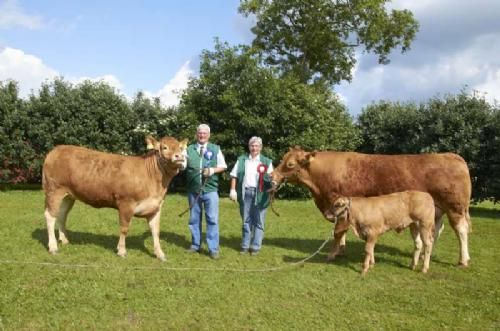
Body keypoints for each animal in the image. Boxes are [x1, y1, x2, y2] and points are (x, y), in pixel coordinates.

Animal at [42, 136, 188, 260]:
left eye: (180, 148)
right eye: (164, 147)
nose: (179, 156)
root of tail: (56, 149)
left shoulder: (156, 207)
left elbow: (155, 231)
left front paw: (160, 254)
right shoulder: (126, 203)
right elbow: (124, 228)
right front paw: (122, 251)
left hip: (68, 196)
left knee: (61, 215)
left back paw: (64, 240)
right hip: (54, 190)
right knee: (50, 216)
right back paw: (53, 247)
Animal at [272, 148, 470, 268]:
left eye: (289, 164)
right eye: (282, 159)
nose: (272, 176)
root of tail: (452, 156)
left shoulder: (340, 205)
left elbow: (337, 232)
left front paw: (332, 254)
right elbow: (342, 232)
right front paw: (341, 250)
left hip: (455, 208)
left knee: (461, 230)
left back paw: (463, 259)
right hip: (436, 211)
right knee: (436, 231)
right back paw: (423, 257)